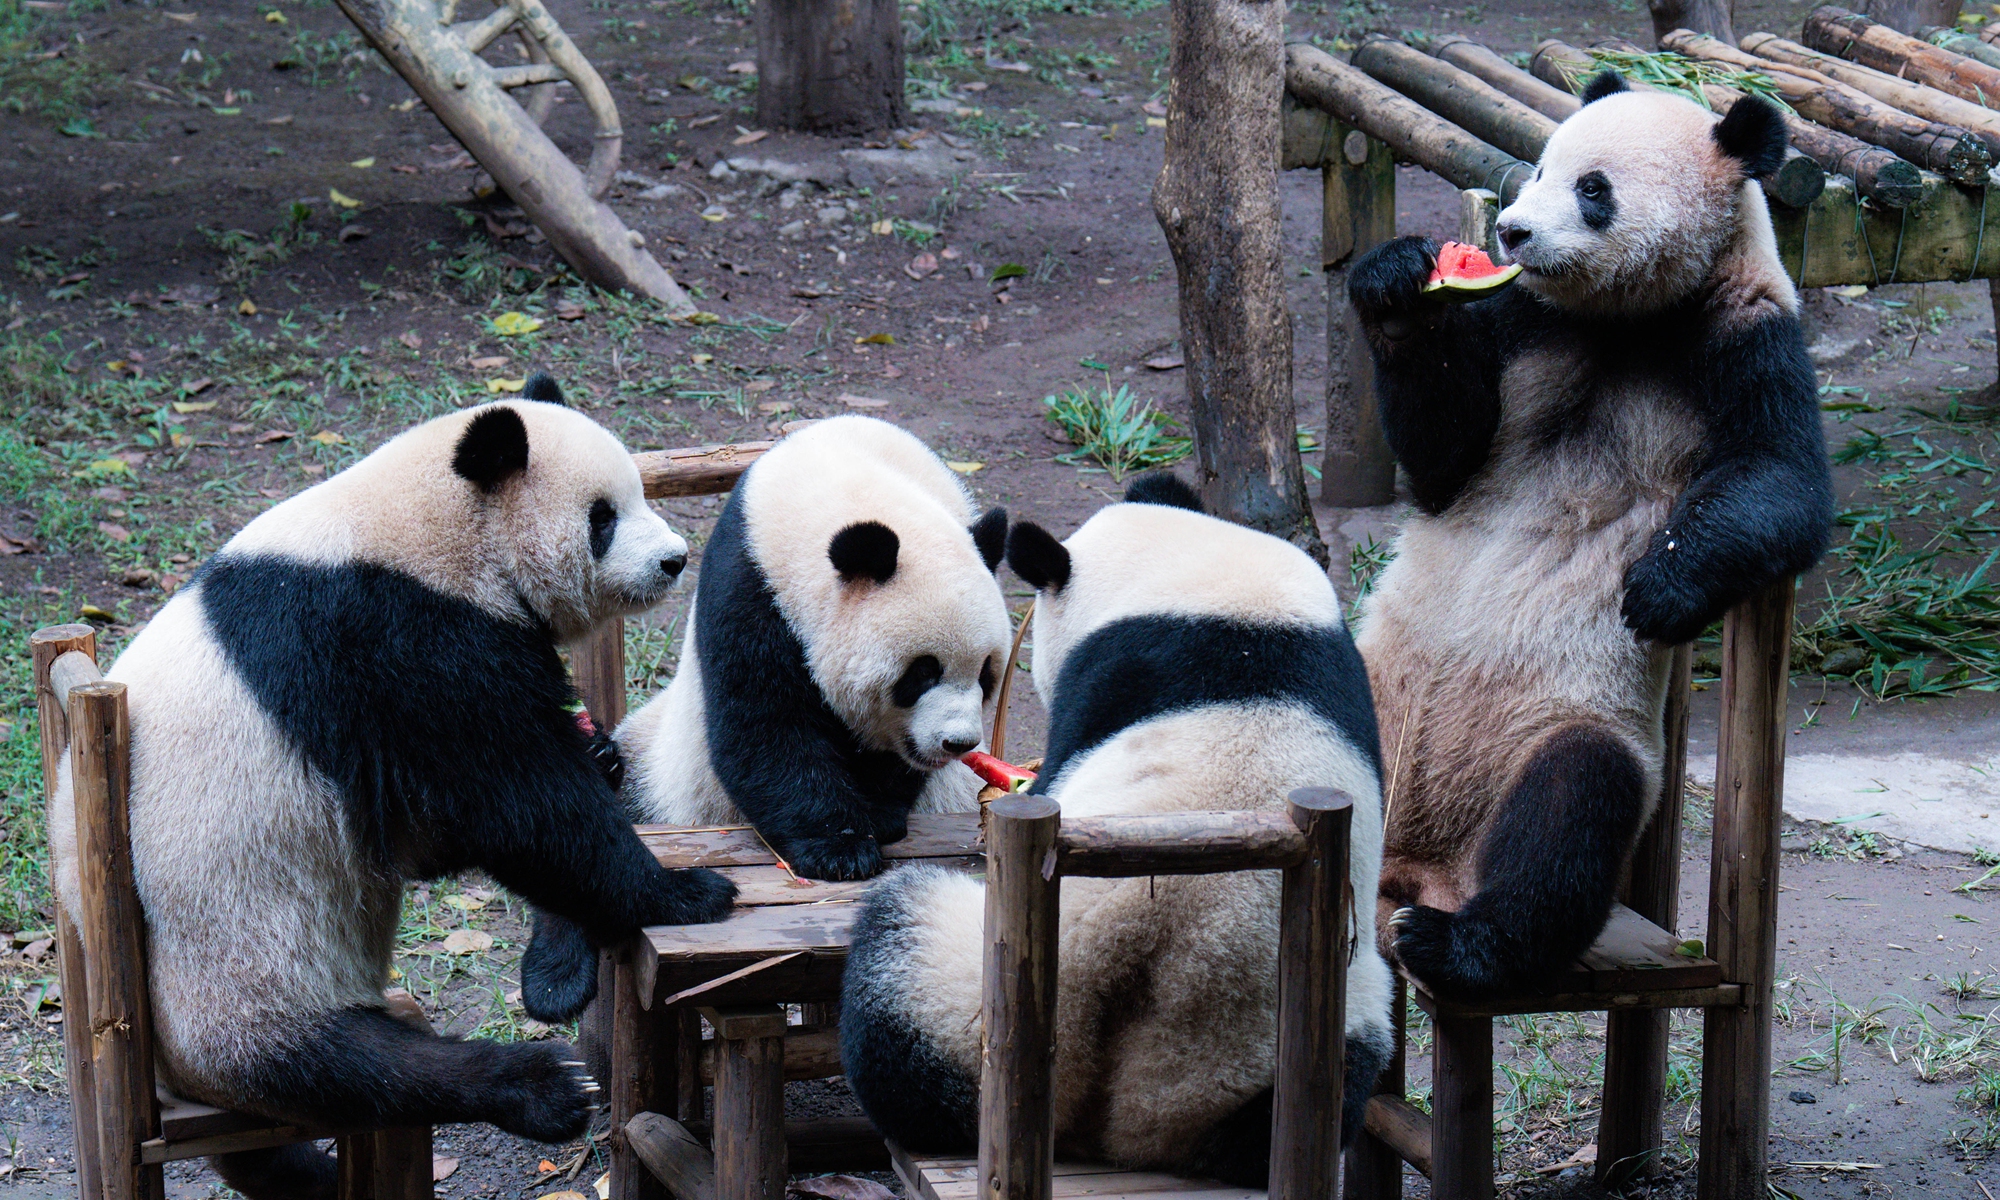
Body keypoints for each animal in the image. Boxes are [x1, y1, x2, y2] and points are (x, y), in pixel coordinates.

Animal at [49, 375, 737, 1200]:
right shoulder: (397, 638)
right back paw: (538, 1086)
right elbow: (519, 806)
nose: (673, 559)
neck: (427, 527)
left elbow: (443, 834)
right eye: (603, 517)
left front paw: (599, 756)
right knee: (347, 1066)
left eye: (636, 496)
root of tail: (165, 1084)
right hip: (229, 966)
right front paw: (687, 892)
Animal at [618, 415, 1012, 882]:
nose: (957, 743)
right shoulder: (749, 589)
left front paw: (879, 815)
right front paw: (840, 848)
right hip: (663, 773)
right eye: (922, 673)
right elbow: (766, 726)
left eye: (986, 673)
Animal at [837, 474, 1394, 1186]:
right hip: (1297, 1041)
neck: (1196, 581)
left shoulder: (1109, 677)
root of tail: (1120, 1124)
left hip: (961, 995)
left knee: (897, 974)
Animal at [1345, 77, 1832, 999]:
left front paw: (1662, 589)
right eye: (1538, 166)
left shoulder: (1745, 334)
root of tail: (1409, 865)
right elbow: (1445, 461)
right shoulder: (1518, 323)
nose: (1509, 232)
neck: (1624, 319)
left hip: (1561, 723)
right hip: (1368, 688)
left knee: (1570, 810)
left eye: (1593, 189)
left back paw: (1458, 944)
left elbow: (1782, 478)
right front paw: (1393, 284)